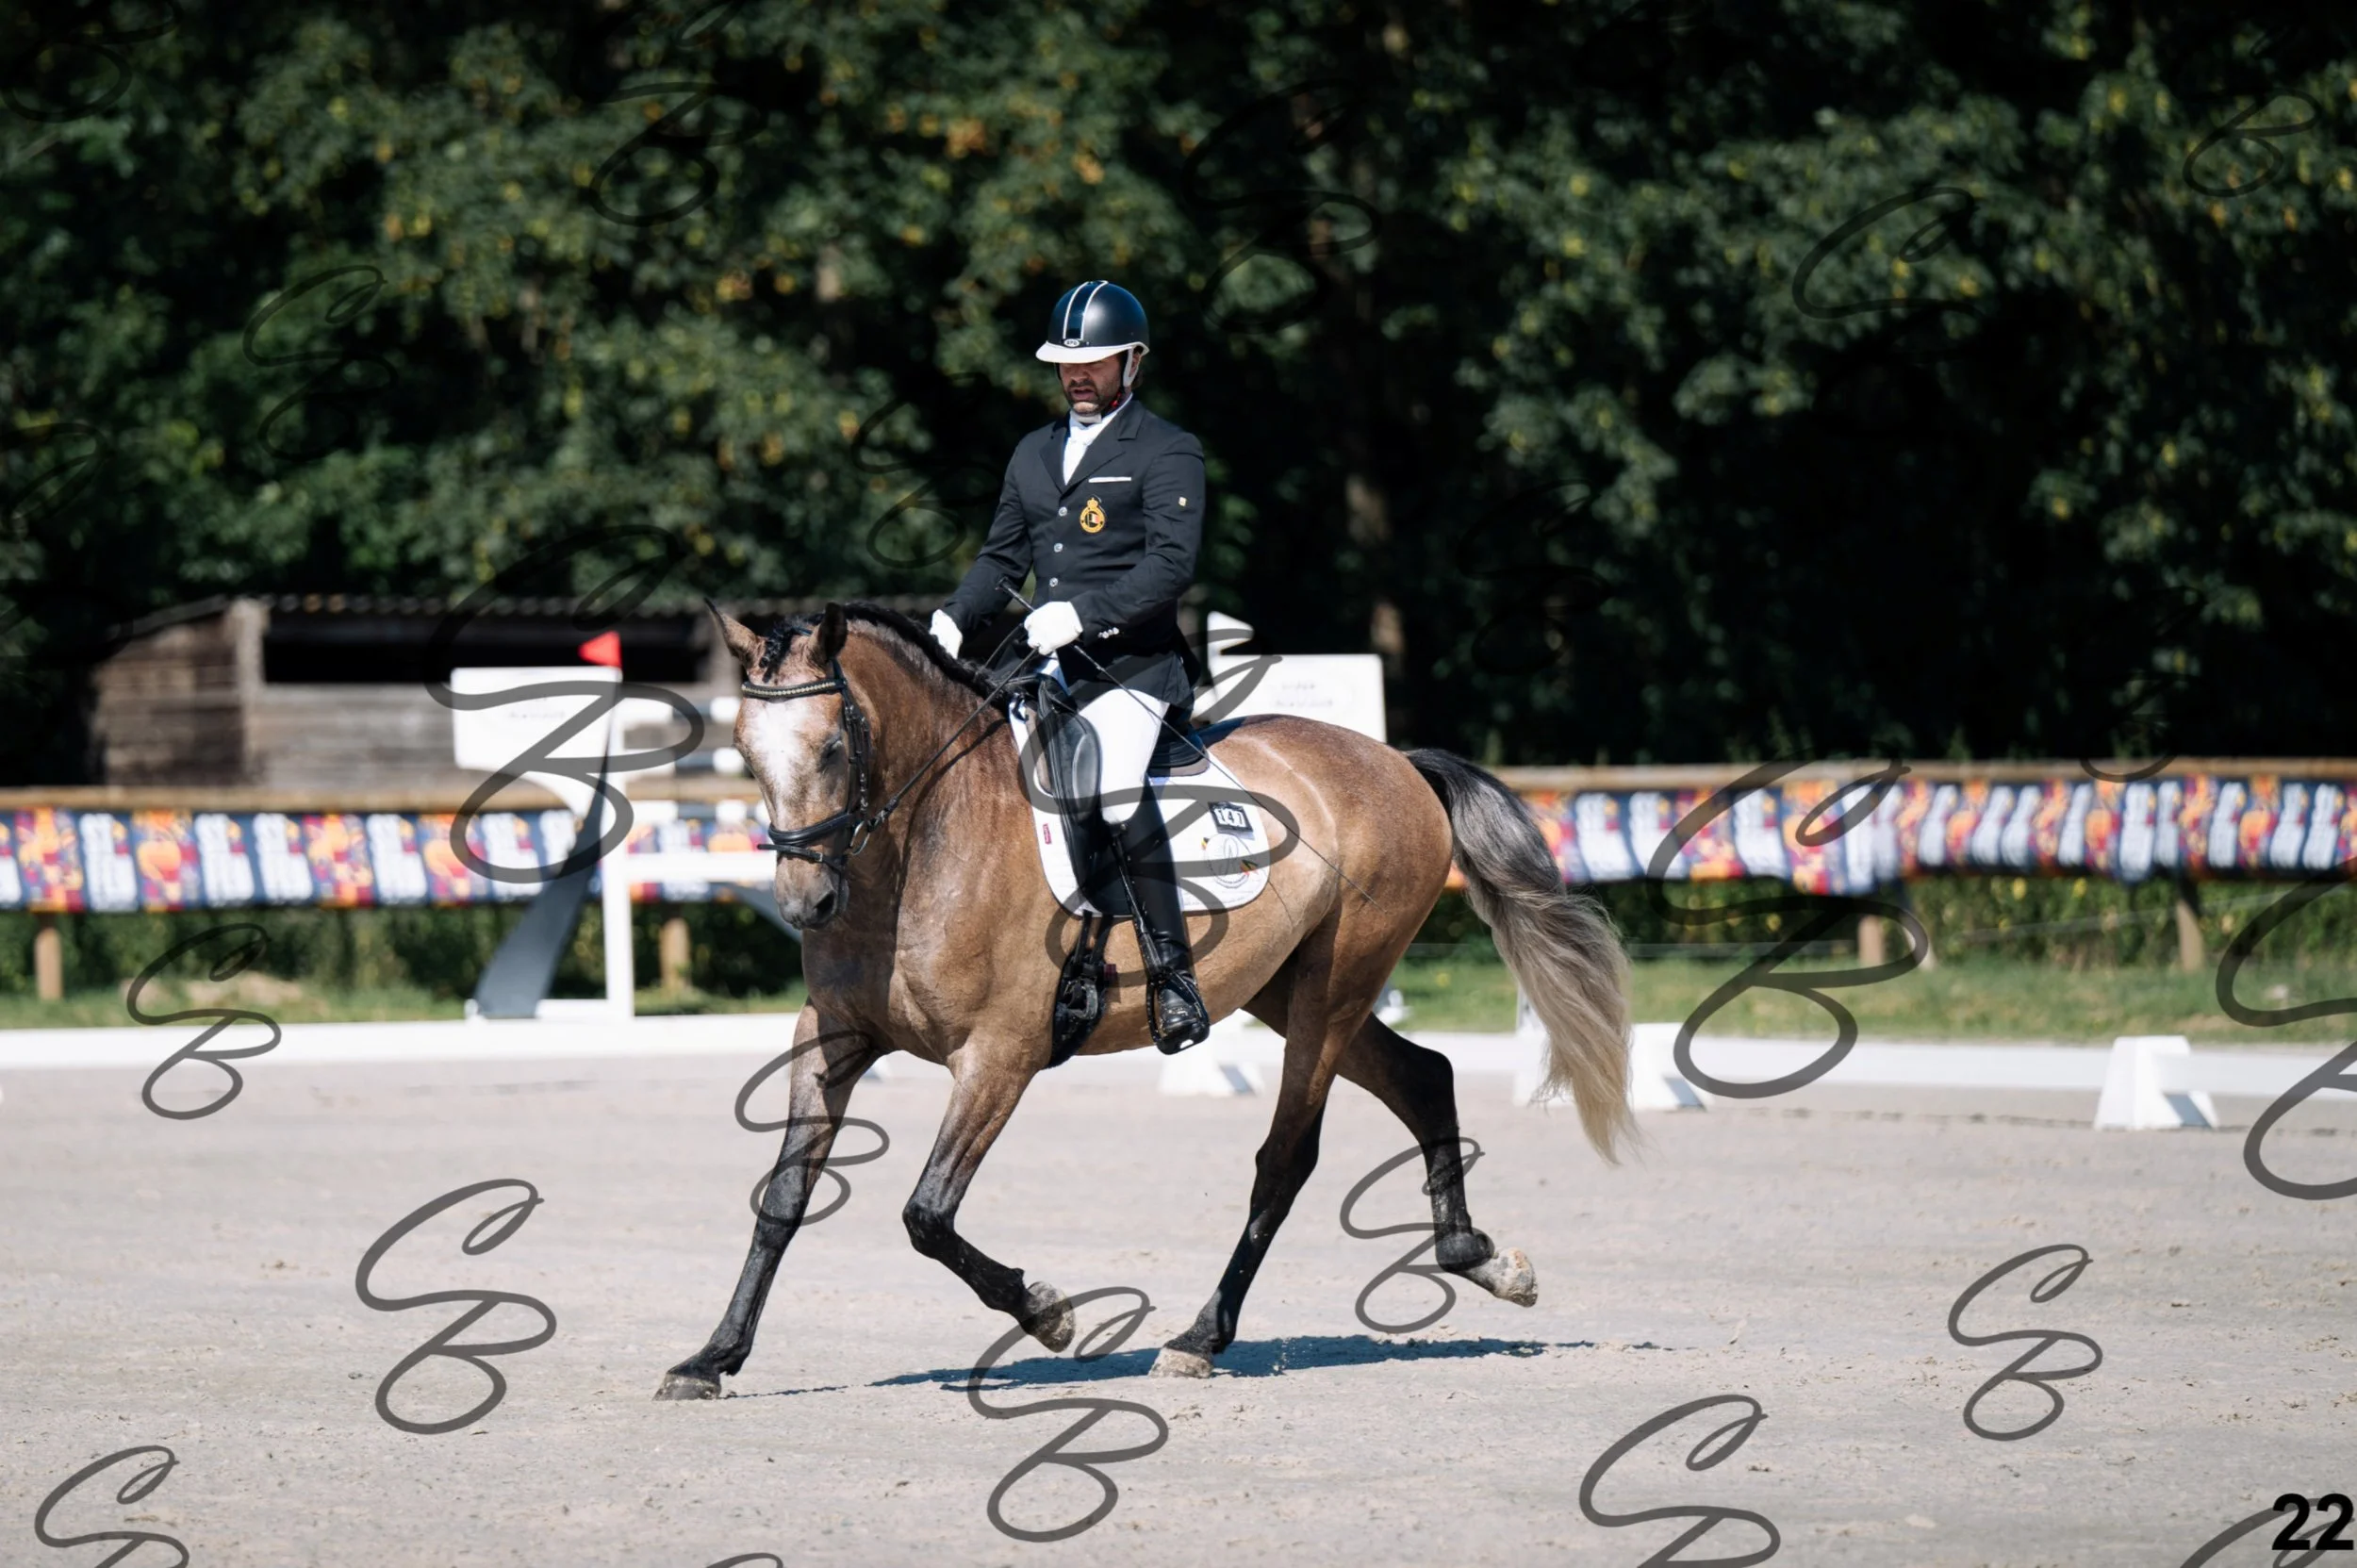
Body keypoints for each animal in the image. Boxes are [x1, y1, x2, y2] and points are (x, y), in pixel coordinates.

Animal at [655, 600, 1632, 1396]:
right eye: (746, 755)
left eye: (832, 748)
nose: (805, 903)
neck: (924, 842)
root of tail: (1395, 761)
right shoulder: (833, 1037)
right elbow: (784, 1198)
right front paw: (711, 1358)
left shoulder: (1000, 1055)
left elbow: (927, 1213)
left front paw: (1048, 1312)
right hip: (1292, 990)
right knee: (1424, 1076)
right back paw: (1483, 1260)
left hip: (1335, 987)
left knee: (1286, 1158)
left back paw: (1199, 1337)